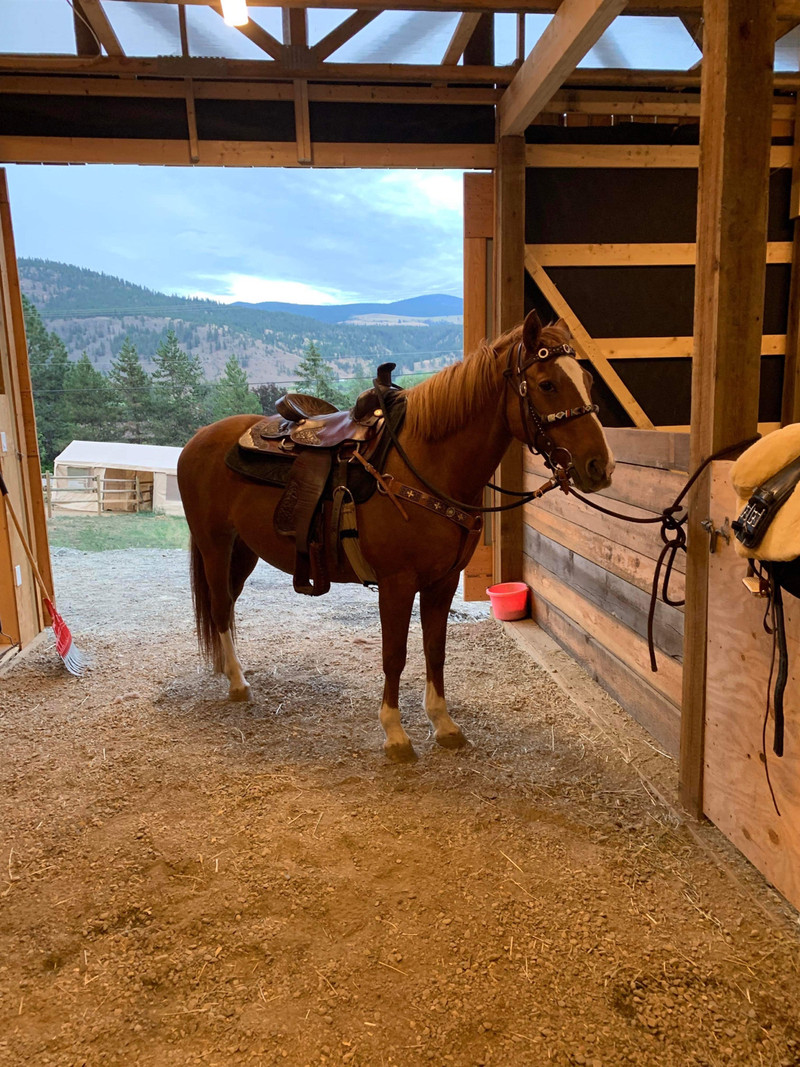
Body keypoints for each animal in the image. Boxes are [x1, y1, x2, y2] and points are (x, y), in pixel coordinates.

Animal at [177, 310, 615, 762]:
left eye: (587, 380)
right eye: (547, 384)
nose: (599, 466)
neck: (427, 464)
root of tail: (199, 438)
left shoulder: (443, 582)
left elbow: (435, 650)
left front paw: (443, 723)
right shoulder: (397, 584)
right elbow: (395, 655)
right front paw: (395, 733)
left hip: (243, 550)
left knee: (226, 605)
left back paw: (228, 668)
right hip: (215, 544)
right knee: (220, 605)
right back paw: (236, 683)